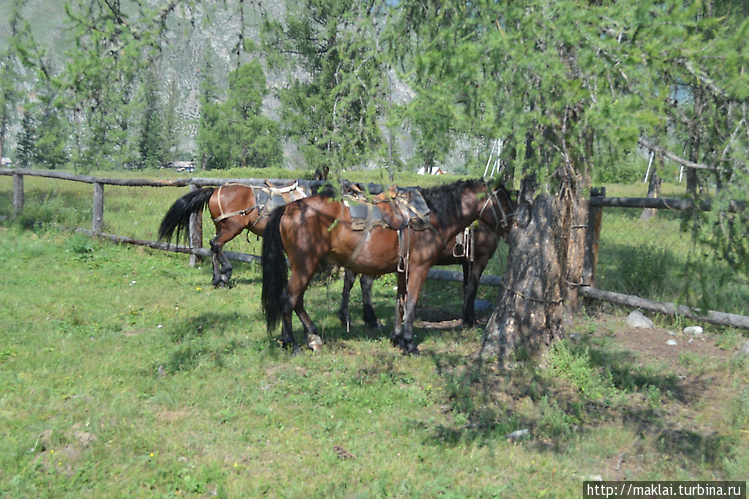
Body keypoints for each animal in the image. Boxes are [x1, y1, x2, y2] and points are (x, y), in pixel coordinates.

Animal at [260, 180, 512, 356]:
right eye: (504, 200)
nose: (515, 222)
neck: (432, 217)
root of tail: (289, 208)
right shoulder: (420, 268)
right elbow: (412, 302)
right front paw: (409, 344)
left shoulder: (403, 269)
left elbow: (400, 301)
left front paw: (397, 338)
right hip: (305, 265)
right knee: (288, 299)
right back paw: (292, 344)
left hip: (306, 266)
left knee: (297, 300)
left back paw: (312, 336)